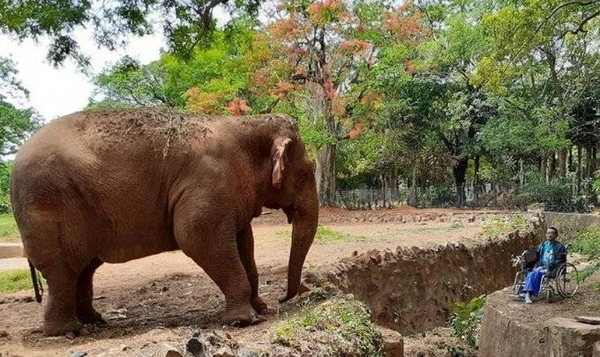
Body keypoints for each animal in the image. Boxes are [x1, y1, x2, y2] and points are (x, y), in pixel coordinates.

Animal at [10, 107, 318, 336]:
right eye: (306, 172)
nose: (285, 298)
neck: (248, 125)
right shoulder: (208, 184)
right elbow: (196, 236)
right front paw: (246, 320)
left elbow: (245, 244)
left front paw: (260, 308)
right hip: (48, 206)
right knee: (63, 271)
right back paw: (68, 331)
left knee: (83, 269)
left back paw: (95, 321)